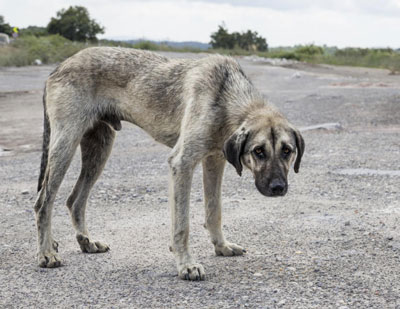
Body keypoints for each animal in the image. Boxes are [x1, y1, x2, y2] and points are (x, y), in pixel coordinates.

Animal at [34, 47, 304, 280]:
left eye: (287, 151)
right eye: (258, 151)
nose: (278, 188)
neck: (226, 96)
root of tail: (59, 67)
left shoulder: (214, 161)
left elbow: (214, 211)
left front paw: (221, 246)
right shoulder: (182, 164)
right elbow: (182, 224)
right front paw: (186, 264)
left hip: (98, 150)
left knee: (75, 200)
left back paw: (86, 242)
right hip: (65, 145)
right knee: (43, 202)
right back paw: (46, 252)